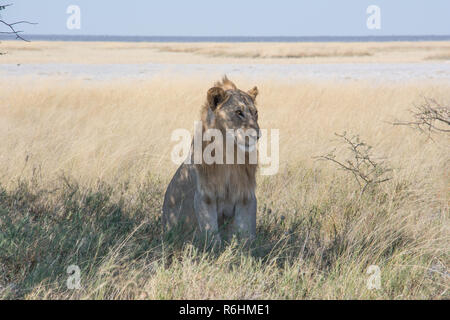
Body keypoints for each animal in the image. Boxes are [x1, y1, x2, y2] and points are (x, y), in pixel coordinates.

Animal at [162, 77, 260, 242]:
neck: (230, 153)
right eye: (239, 112)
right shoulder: (205, 196)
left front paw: (248, 248)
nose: (257, 135)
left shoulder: (246, 196)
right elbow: (211, 231)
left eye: (255, 113)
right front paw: (214, 247)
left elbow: (246, 232)